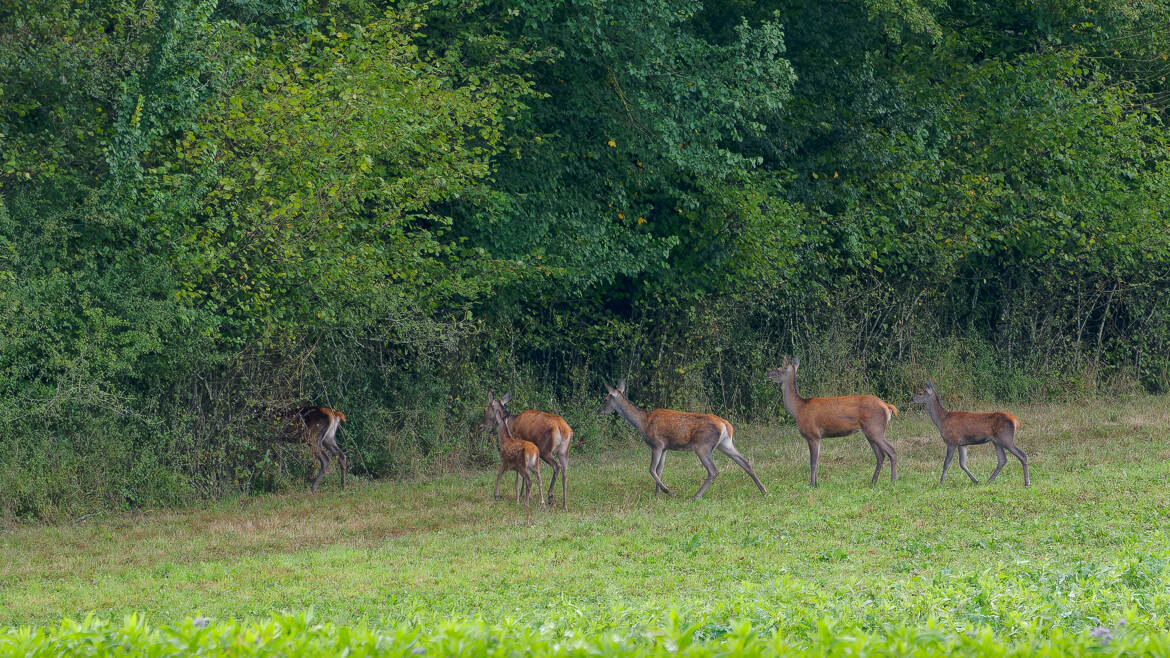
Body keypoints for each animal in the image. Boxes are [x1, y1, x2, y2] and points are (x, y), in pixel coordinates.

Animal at [594, 379, 767, 496]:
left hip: (703, 446)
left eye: (606, 399)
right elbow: (659, 470)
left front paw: (667, 491)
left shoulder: (657, 443)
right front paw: (657, 494)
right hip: (725, 444)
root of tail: (726, 425)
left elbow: (651, 469)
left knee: (713, 470)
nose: (598, 412)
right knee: (745, 461)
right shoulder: (665, 448)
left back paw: (696, 496)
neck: (642, 422)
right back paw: (764, 490)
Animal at [762, 355, 898, 484]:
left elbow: (813, 463)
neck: (798, 410)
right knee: (880, 455)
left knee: (891, 451)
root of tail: (886, 406)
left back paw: (892, 481)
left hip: (875, 428)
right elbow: (816, 462)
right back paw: (873, 481)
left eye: (779, 369)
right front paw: (816, 483)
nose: (767, 374)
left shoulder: (813, 435)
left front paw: (812, 485)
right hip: (869, 431)